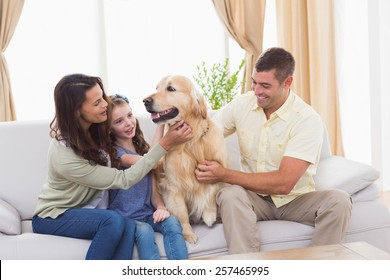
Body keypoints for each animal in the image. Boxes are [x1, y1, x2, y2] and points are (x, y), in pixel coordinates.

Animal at [143, 74, 229, 243]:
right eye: (157, 88)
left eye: (171, 88)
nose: (145, 101)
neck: (191, 142)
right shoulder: (173, 185)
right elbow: (182, 213)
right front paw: (188, 233)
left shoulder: (218, 167)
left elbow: (212, 188)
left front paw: (209, 214)